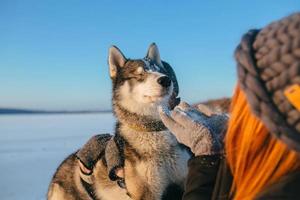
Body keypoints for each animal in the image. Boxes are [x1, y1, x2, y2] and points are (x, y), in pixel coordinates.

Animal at [48, 43, 191, 199]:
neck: (152, 128)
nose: (165, 80)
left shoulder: (183, 179)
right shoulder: (146, 193)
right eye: (139, 74)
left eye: (160, 71)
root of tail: (59, 169)